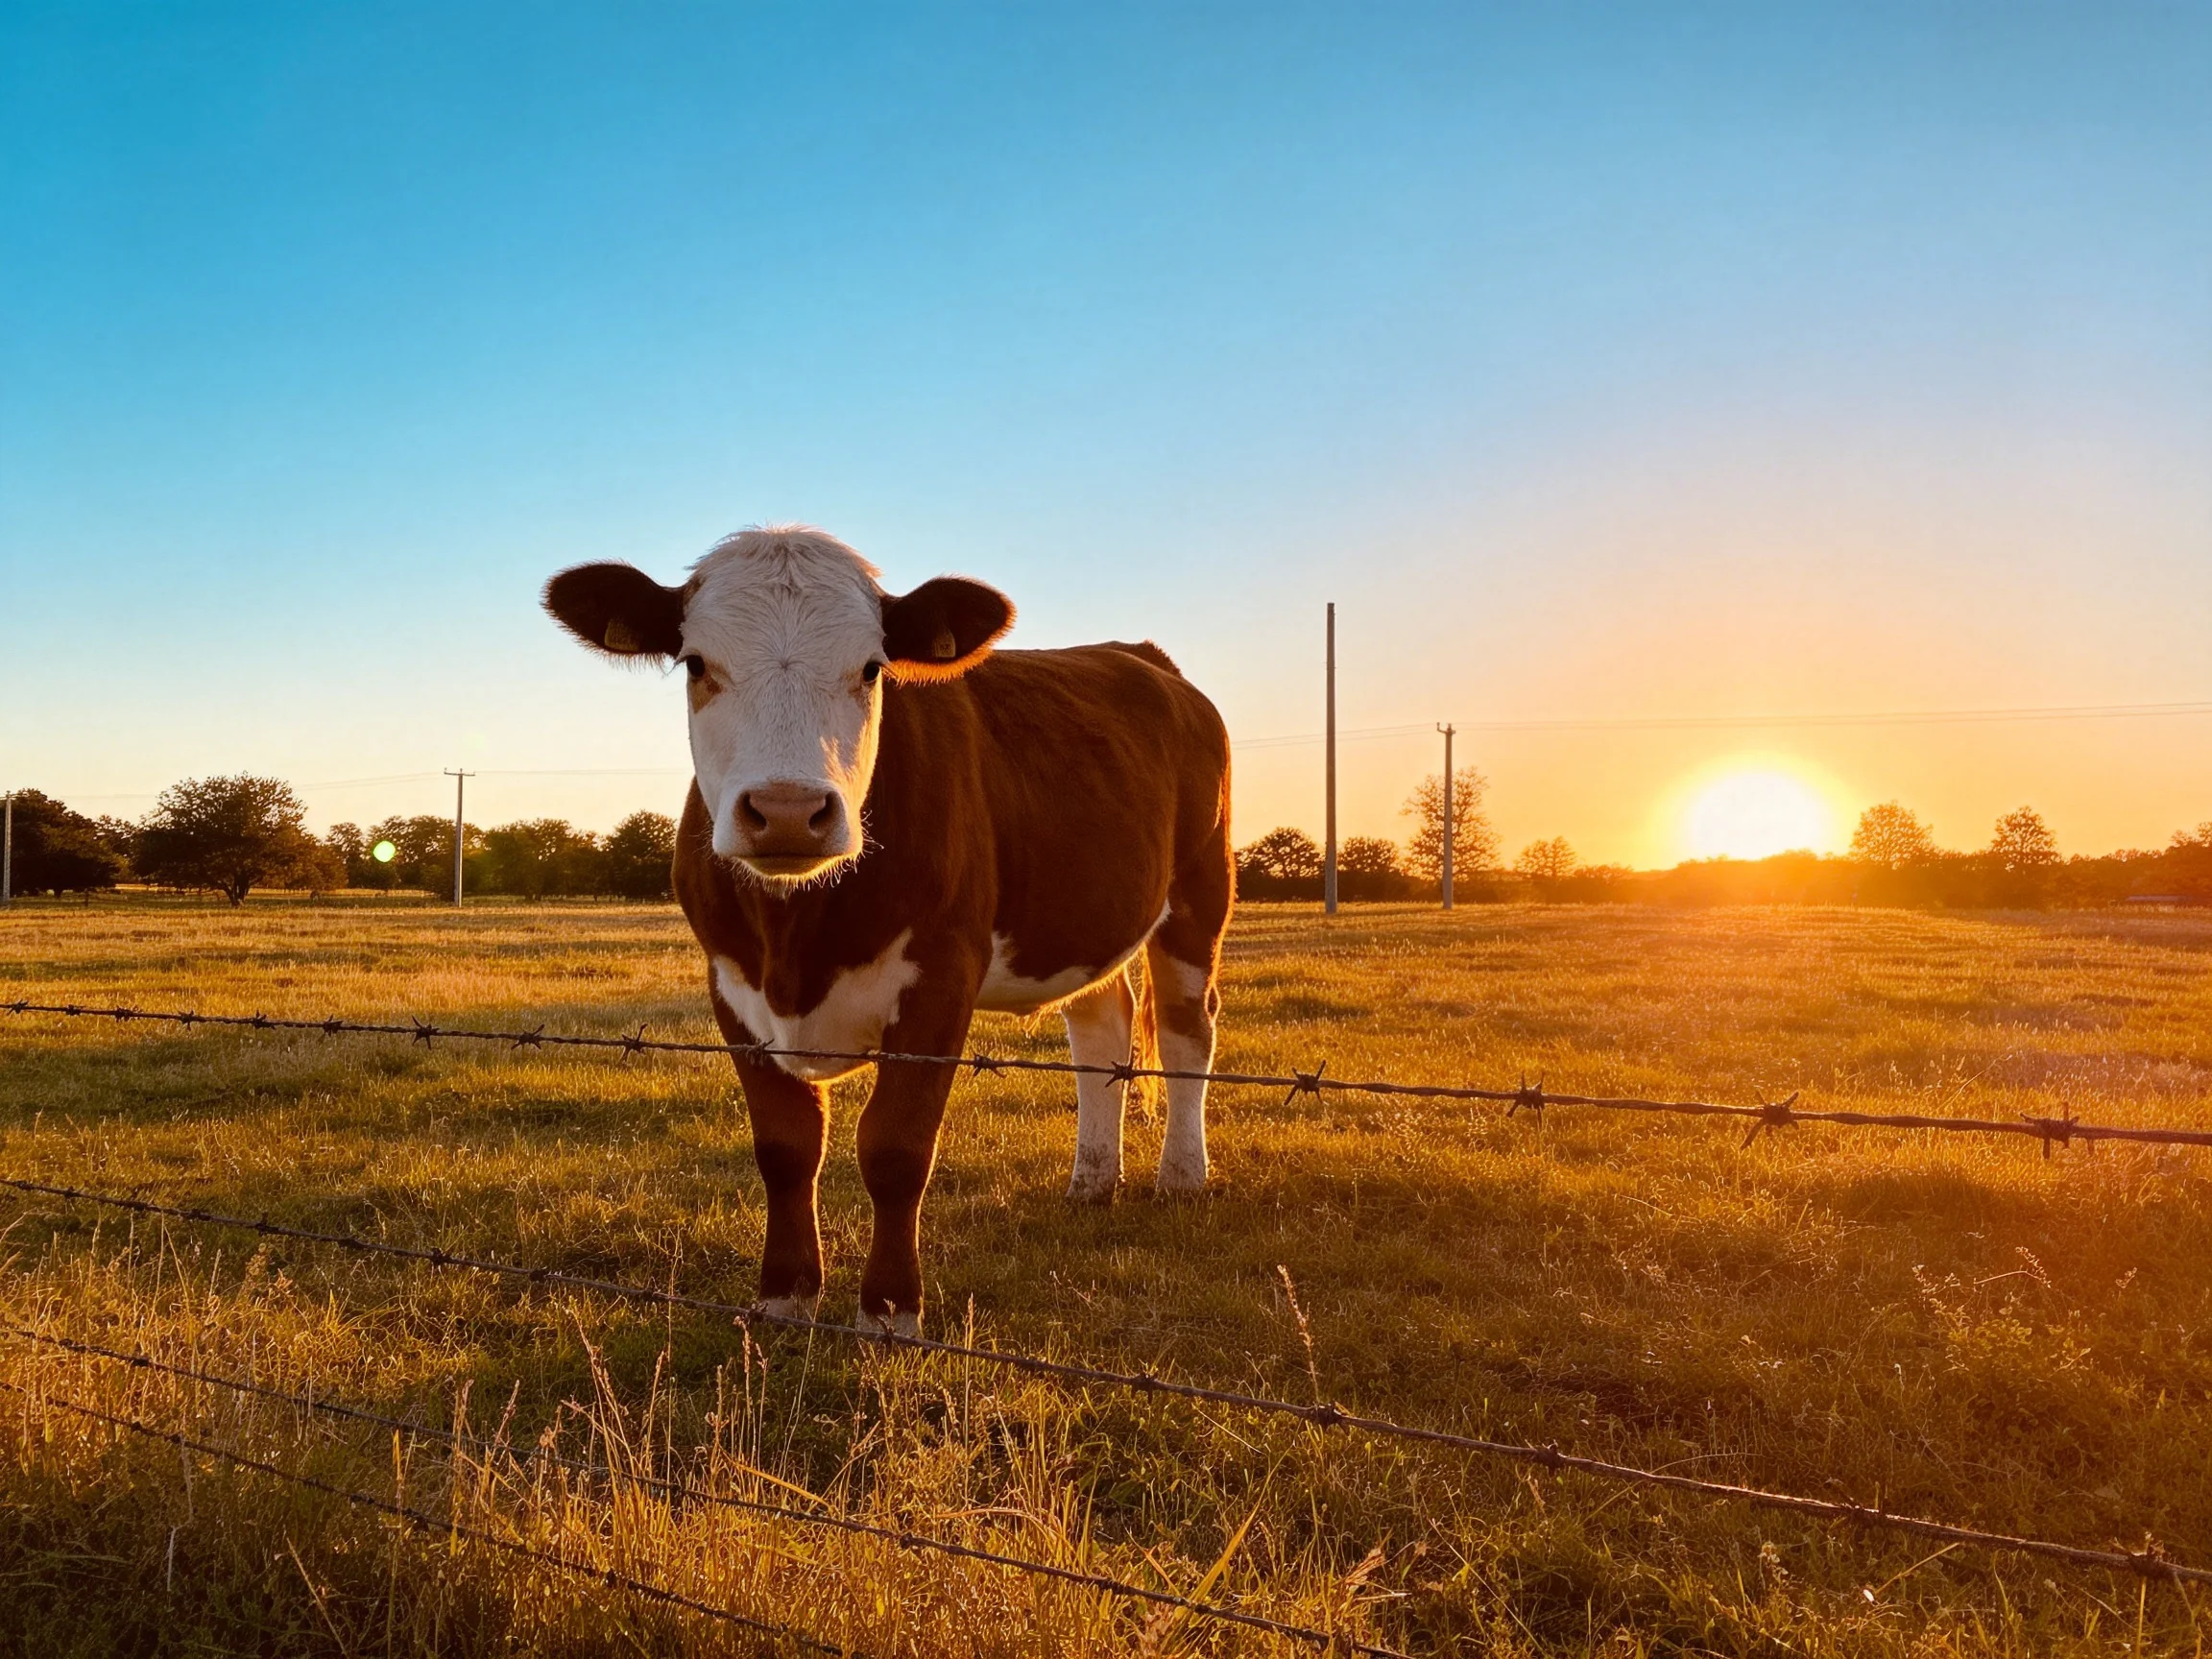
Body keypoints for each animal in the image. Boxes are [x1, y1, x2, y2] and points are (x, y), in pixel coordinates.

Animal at [543, 526, 1233, 1335]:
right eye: (696, 663)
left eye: (873, 668)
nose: (786, 811)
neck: (795, 937)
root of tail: (1143, 655)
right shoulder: (730, 984)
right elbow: (785, 1147)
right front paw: (784, 1296)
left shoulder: (941, 978)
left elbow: (896, 1149)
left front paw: (891, 1312)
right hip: (1082, 916)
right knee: (1102, 1029)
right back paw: (1093, 1180)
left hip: (1199, 889)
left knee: (1187, 1030)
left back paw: (1181, 1175)